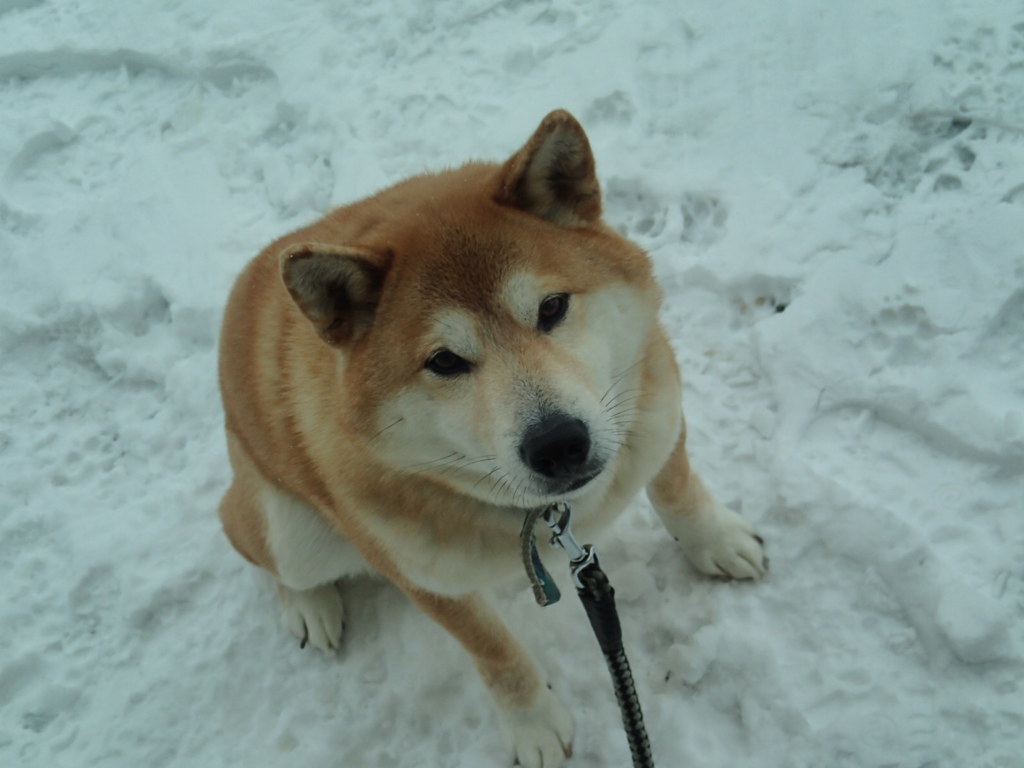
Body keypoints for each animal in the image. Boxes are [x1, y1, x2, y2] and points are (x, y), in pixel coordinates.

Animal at [216, 109, 765, 768]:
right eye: (445, 361)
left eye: (552, 307)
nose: (558, 444)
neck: (548, 512)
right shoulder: (423, 577)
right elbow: (496, 653)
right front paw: (534, 725)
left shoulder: (653, 407)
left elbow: (677, 486)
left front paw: (716, 539)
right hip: (290, 531)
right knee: (264, 553)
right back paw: (309, 605)